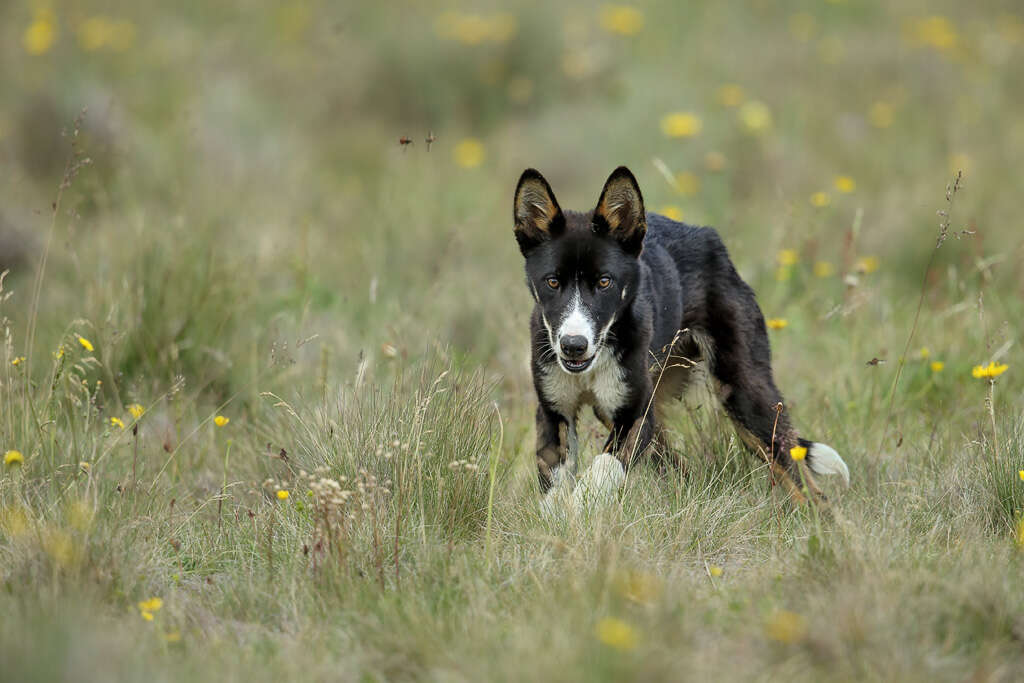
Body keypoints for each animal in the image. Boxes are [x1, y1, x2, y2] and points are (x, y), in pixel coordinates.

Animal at [512, 167, 847, 505]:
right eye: (553, 282)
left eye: (605, 282)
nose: (573, 346)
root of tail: (708, 237)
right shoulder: (554, 413)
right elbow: (554, 491)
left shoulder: (634, 416)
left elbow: (599, 473)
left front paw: (580, 509)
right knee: (677, 465)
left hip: (745, 394)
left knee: (807, 485)